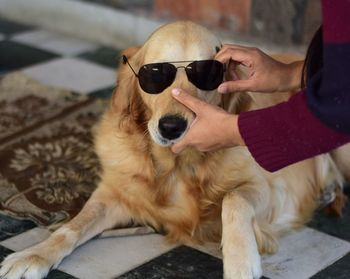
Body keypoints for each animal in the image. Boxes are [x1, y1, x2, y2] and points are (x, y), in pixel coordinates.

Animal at [1, 21, 348, 279]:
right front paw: (33, 254)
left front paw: (241, 261)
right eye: (154, 74)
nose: (171, 127)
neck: (178, 164)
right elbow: (72, 226)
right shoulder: (115, 194)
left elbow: (233, 201)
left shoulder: (268, 188)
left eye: (206, 73)